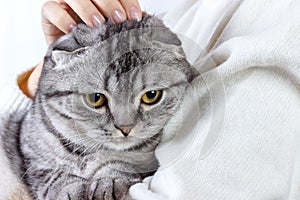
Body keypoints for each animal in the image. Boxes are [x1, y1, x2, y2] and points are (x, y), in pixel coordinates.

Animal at [1, 13, 199, 199]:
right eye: (95, 98)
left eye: (151, 96)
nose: (125, 128)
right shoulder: (34, 159)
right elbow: (56, 177)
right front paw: (70, 191)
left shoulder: (145, 159)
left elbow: (124, 163)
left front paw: (108, 182)